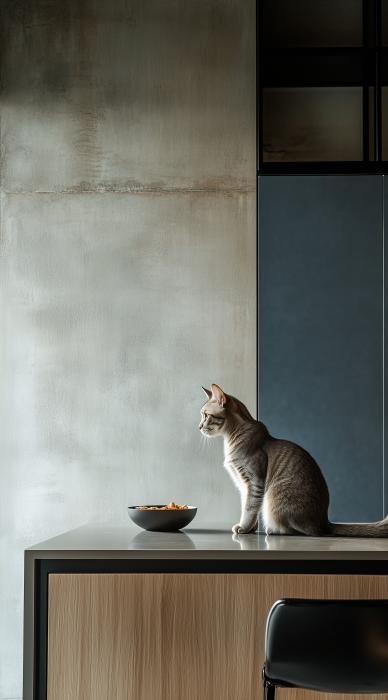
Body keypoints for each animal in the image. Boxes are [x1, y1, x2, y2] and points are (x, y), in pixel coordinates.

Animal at [200, 382, 388, 536]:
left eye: (205, 415)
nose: (199, 427)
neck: (232, 438)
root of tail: (324, 522)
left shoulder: (254, 483)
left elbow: (249, 508)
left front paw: (244, 528)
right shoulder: (243, 485)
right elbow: (247, 507)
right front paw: (251, 528)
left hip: (274, 497)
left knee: (300, 531)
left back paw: (273, 530)